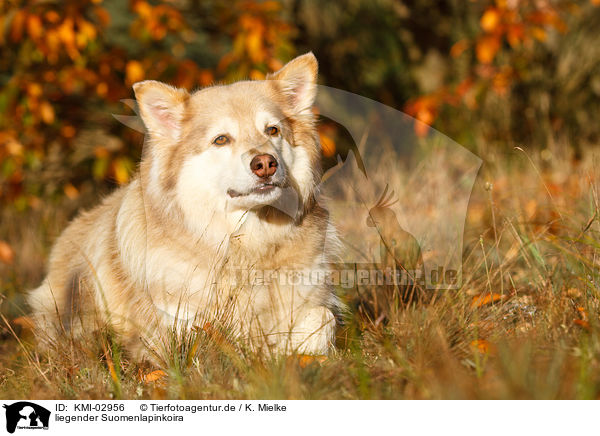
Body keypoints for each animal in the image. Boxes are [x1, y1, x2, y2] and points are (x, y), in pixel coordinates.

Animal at [28, 52, 340, 362]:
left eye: (272, 130)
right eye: (221, 139)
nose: (265, 164)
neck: (247, 244)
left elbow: (322, 319)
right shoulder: (176, 329)